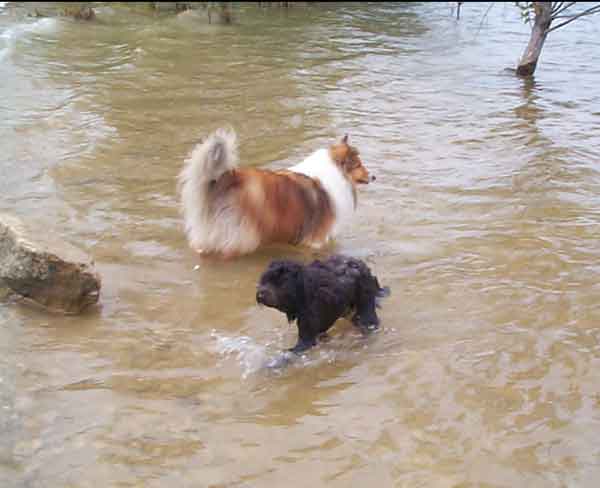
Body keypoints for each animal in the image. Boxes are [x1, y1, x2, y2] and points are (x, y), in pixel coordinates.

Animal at [177, 130, 370, 260]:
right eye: (358, 165)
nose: (373, 176)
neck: (336, 172)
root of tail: (227, 178)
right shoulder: (315, 240)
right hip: (240, 235)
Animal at [254, 254, 390, 352]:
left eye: (281, 282)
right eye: (264, 279)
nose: (260, 294)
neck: (304, 292)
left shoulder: (307, 335)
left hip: (365, 308)